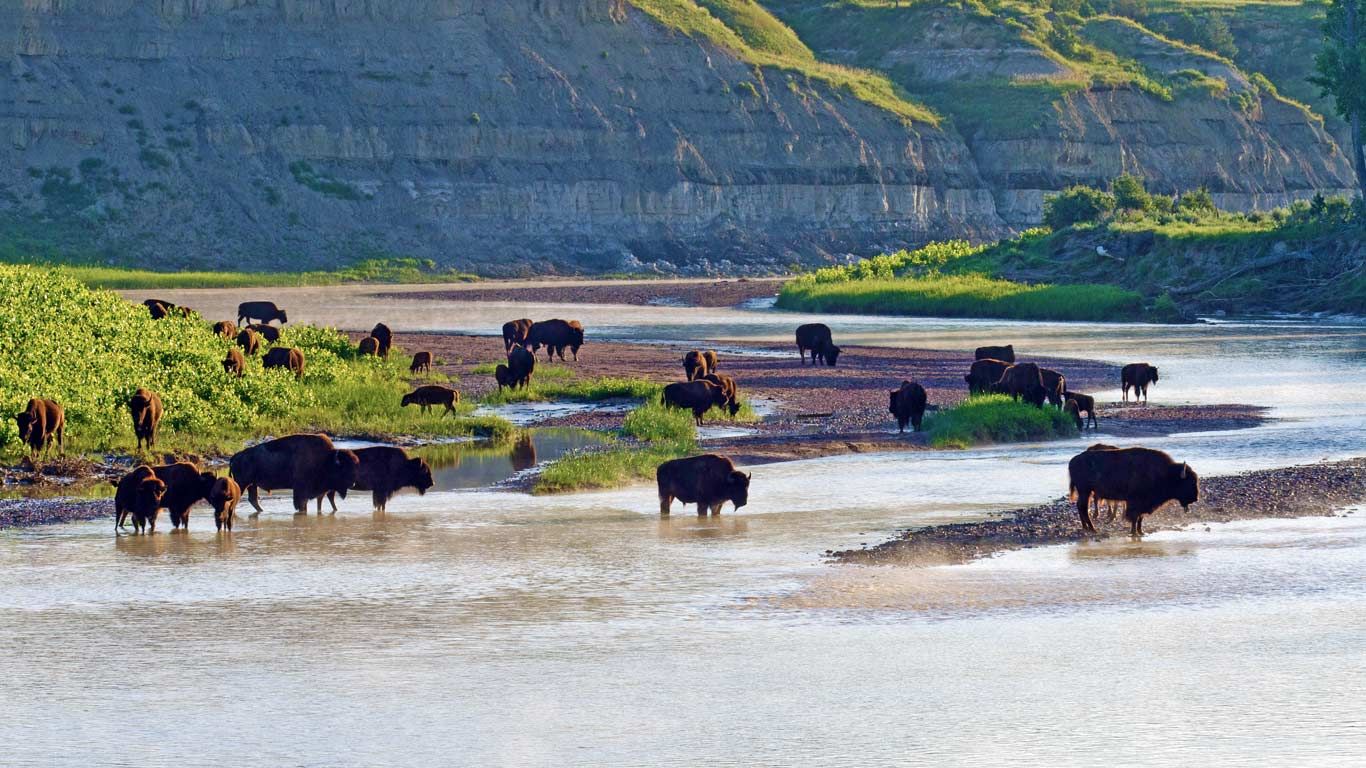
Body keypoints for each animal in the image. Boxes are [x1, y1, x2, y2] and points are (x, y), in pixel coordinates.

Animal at [230, 434, 359, 515]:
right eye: (344, 469)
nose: (352, 484)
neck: (325, 460)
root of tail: (235, 457)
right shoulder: (300, 491)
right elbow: (301, 506)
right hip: (242, 484)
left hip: (252, 484)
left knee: (253, 499)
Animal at [1068, 446, 1198, 537]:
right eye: (1189, 482)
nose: (1195, 498)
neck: (1165, 474)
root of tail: (1072, 461)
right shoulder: (1135, 502)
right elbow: (1135, 517)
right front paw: (1134, 532)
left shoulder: (1142, 504)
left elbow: (1140, 518)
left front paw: (1141, 532)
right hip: (1085, 491)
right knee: (1083, 507)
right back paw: (1093, 529)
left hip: (1085, 492)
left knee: (1080, 506)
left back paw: (1086, 527)